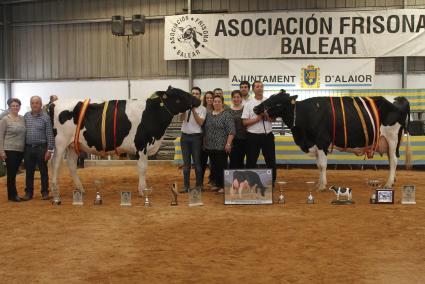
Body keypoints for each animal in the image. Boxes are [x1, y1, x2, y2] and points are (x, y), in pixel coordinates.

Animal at [48, 85, 199, 201]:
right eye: (180, 95)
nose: (197, 100)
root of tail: (54, 104)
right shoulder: (142, 145)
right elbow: (143, 168)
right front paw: (142, 190)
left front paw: (143, 188)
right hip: (60, 143)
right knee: (56, 163)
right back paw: (56, 191)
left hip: (73, 145)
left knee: (71, 164)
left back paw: (81, 189)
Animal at [253, 91, 410, 191]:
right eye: (270, 97)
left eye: (278, 103)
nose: (255, 108)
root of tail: (400, 98)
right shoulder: (315, 144)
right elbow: (318, 165)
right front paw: (319, 184)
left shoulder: (321, 141)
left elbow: (322, 165)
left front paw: (322, 186)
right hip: (389, 141)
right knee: (391, 160)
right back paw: (392, 181)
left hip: (392, 137)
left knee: (394, 161)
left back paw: (388, 184)